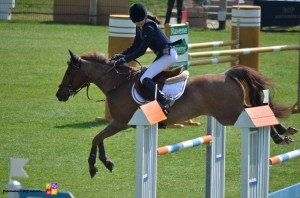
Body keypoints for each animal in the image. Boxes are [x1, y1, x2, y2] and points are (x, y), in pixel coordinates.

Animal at [55, 51, 296, 178]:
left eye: (69, 71)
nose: (59, 94)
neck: (117, 83)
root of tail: (228, 74)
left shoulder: (120, 122)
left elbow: (96, 137)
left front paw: (95, 165)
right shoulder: (119, 123)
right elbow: (99, 138)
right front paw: (106, 163)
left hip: (231, 114)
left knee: (255, 111)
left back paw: (279, 135)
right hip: (229, 113)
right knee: (259, 108)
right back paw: (284, 132)